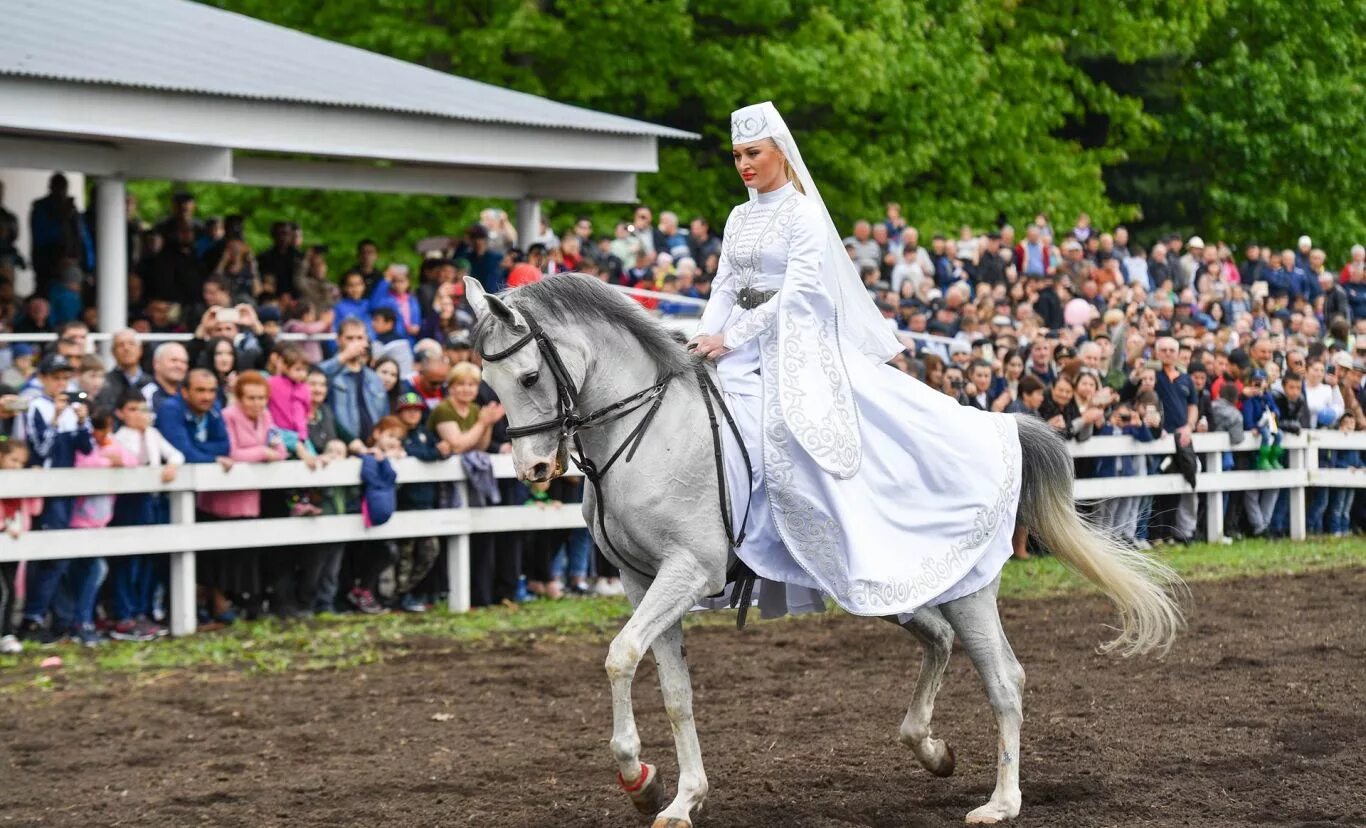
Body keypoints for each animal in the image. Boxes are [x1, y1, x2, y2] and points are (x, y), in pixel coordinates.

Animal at [464, 276, 1180, 825]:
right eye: (488, 383)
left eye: (529, 374)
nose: (533, 470)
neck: (648, 427)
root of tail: (995, 420)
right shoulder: (645, 581)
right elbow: (671, 689)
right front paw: (675, 796)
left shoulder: (687, 572)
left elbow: (619, 657)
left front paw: (639, 780)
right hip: (895, 590)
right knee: (941, 641)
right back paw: (931, 750)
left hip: (968, 586)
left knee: (1004, 679)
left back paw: (1001, 804)